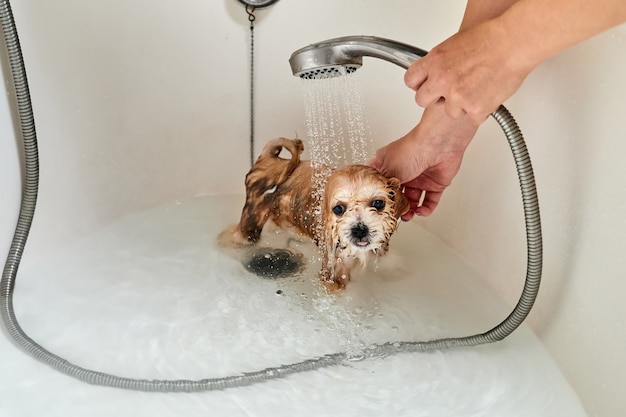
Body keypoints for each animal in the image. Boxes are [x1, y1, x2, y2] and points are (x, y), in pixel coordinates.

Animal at [222, 136, 408, 290]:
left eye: (378, 203)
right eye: (338, 208)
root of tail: (270, 159)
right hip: (253, 216)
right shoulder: (333, 270)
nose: (359, 230)